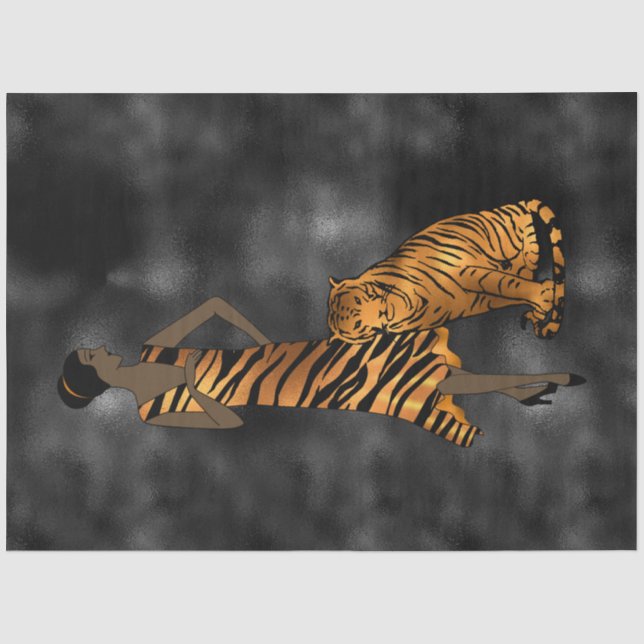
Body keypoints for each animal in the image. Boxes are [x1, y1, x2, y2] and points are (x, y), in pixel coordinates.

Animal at [328, 199, 565, 344]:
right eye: (358, 326)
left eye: (360, 300)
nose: (380, 312)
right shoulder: (479, 300)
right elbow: (505, 287)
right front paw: (543, 298)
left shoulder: (463, 270)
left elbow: (500, 282)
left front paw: (543, 294)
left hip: (501, 235)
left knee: (522, 220)